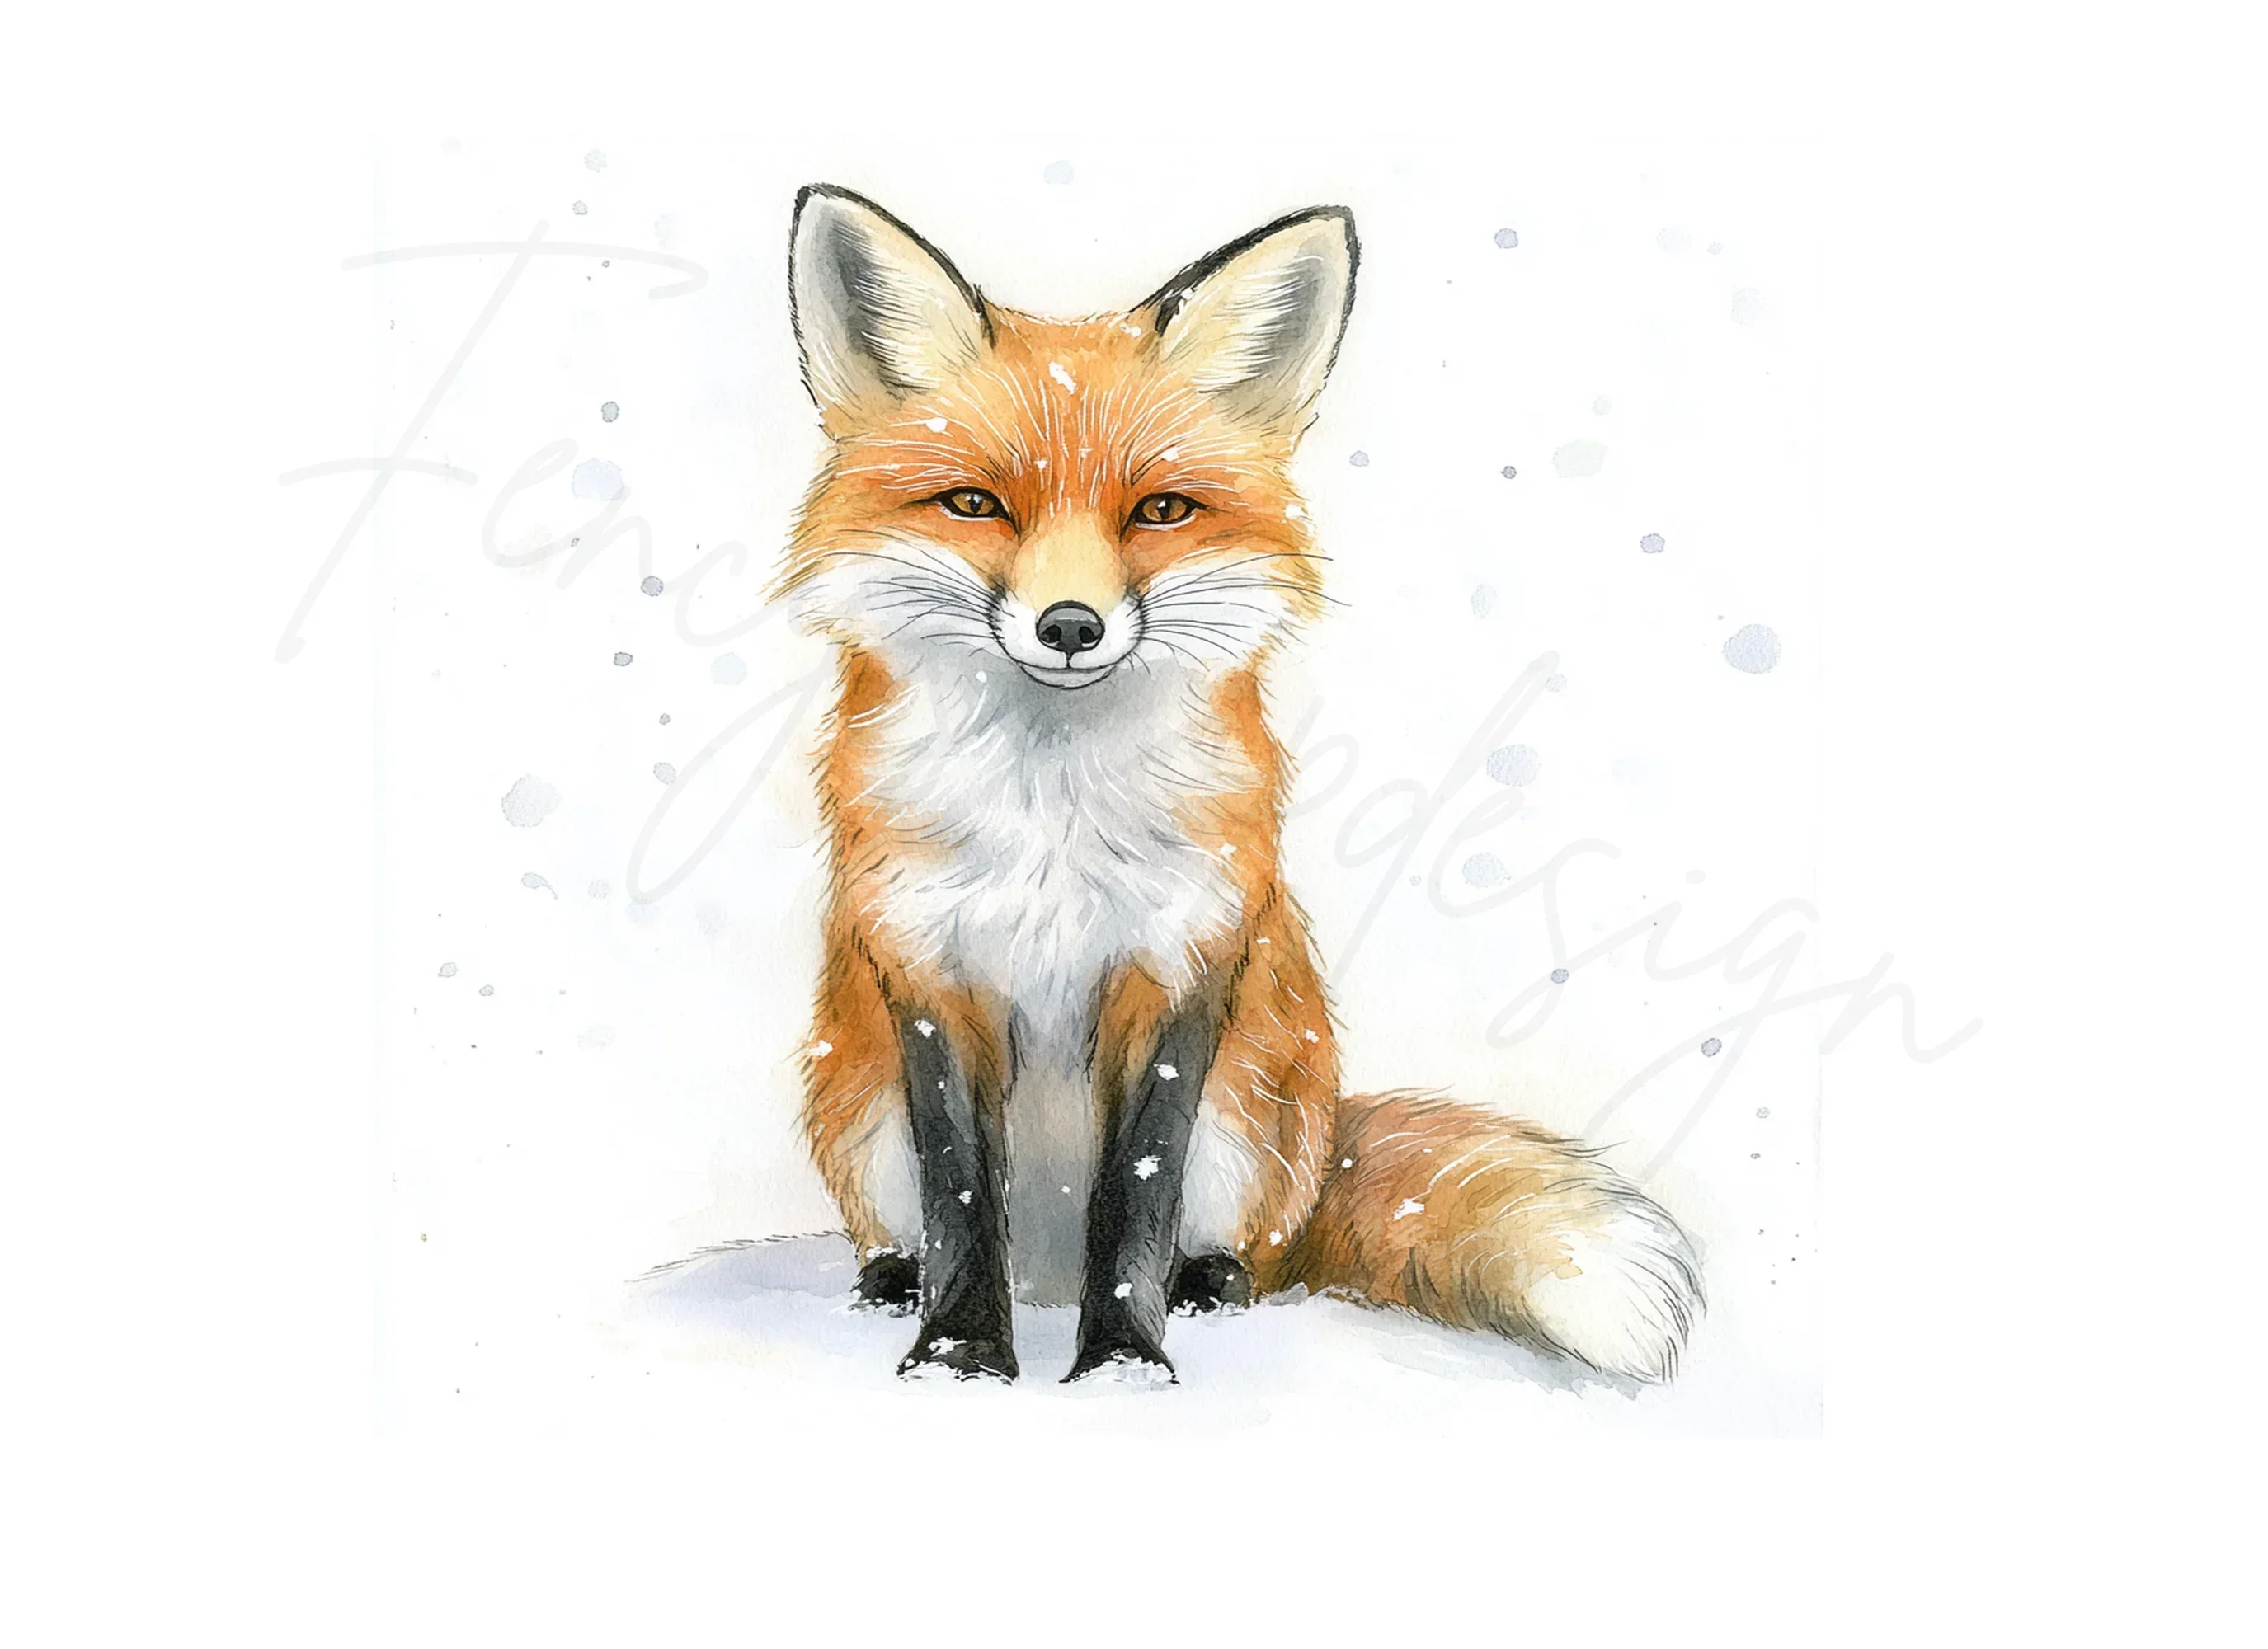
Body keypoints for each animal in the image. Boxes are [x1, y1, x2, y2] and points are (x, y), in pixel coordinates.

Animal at [773, 184, 1702, 1385]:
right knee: (910, 1224)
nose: (1068, 626)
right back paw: (895, 1280)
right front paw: (958, 1355)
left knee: (1247, 1249)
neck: (1050, 815)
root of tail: (1045, 1278)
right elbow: (962, 1195)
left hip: (1256, 1123)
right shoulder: (929, 968)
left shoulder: (1180, 963)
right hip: (855, 1109)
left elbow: (1135, 1199)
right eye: (974, 504)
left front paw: (1123, 1363)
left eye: (1161, 511)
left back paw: (1206, 1285)